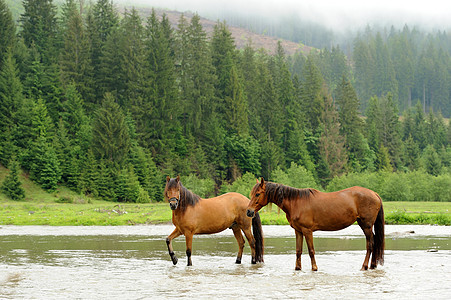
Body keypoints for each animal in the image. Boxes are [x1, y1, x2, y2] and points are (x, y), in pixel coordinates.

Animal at [247, 178, 384, 272]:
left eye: (257, 194)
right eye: (251, 194)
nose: (249, 211)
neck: (296, 202)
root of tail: (375, 194)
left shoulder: (307, 231)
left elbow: (311, 250)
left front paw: (314, 268)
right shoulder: (298, 231)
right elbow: (298, 250)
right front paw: (297, 268)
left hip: (366, 225)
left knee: (370, 244)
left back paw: (365, 266)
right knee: (375, 241)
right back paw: (373, 265)